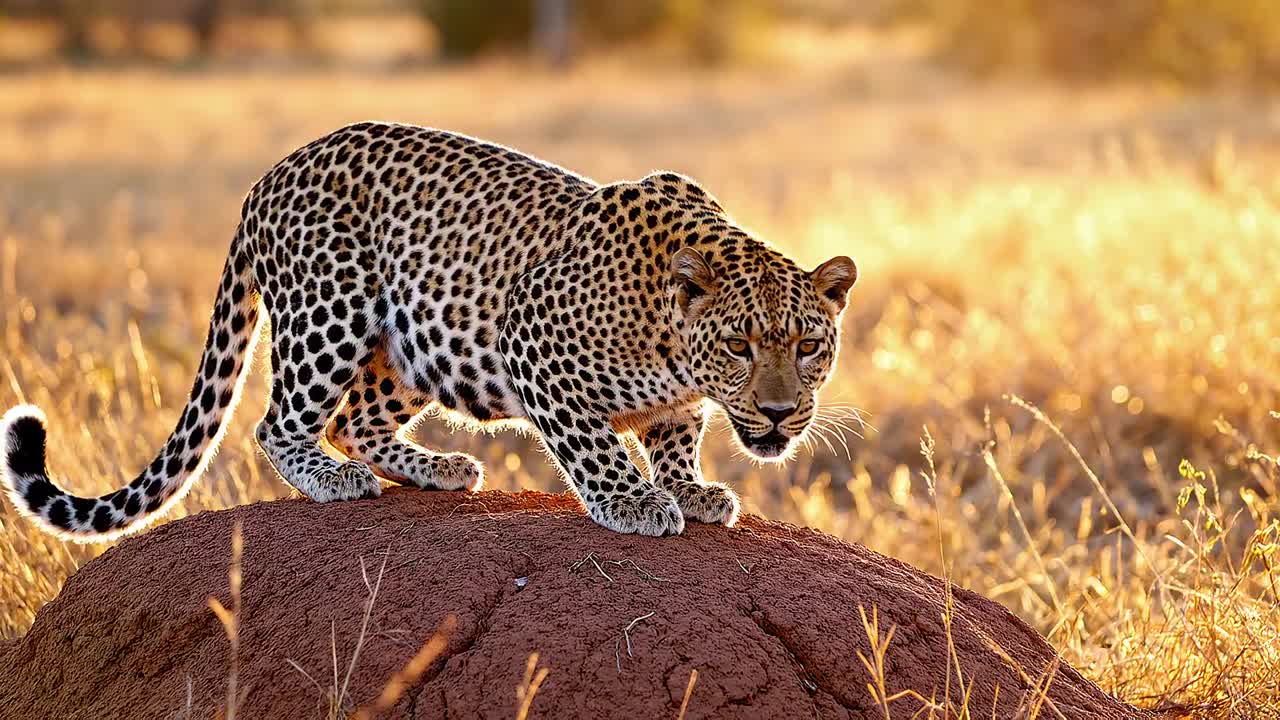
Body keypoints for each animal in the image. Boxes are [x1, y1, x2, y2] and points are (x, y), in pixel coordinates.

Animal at [1, 122, 857, 540]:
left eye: (808, 347)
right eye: (740, 346)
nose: (780, 413)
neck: (671, 335)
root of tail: (265, 179)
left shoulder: (675, 400)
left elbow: (676, 433)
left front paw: (688, 488)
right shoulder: (531, 338)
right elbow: (594, 444)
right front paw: (634, 502)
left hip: (413, 346)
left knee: (354, 420)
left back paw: (437, 469)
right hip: (331, 309)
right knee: (282, 422)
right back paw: (331, 480)